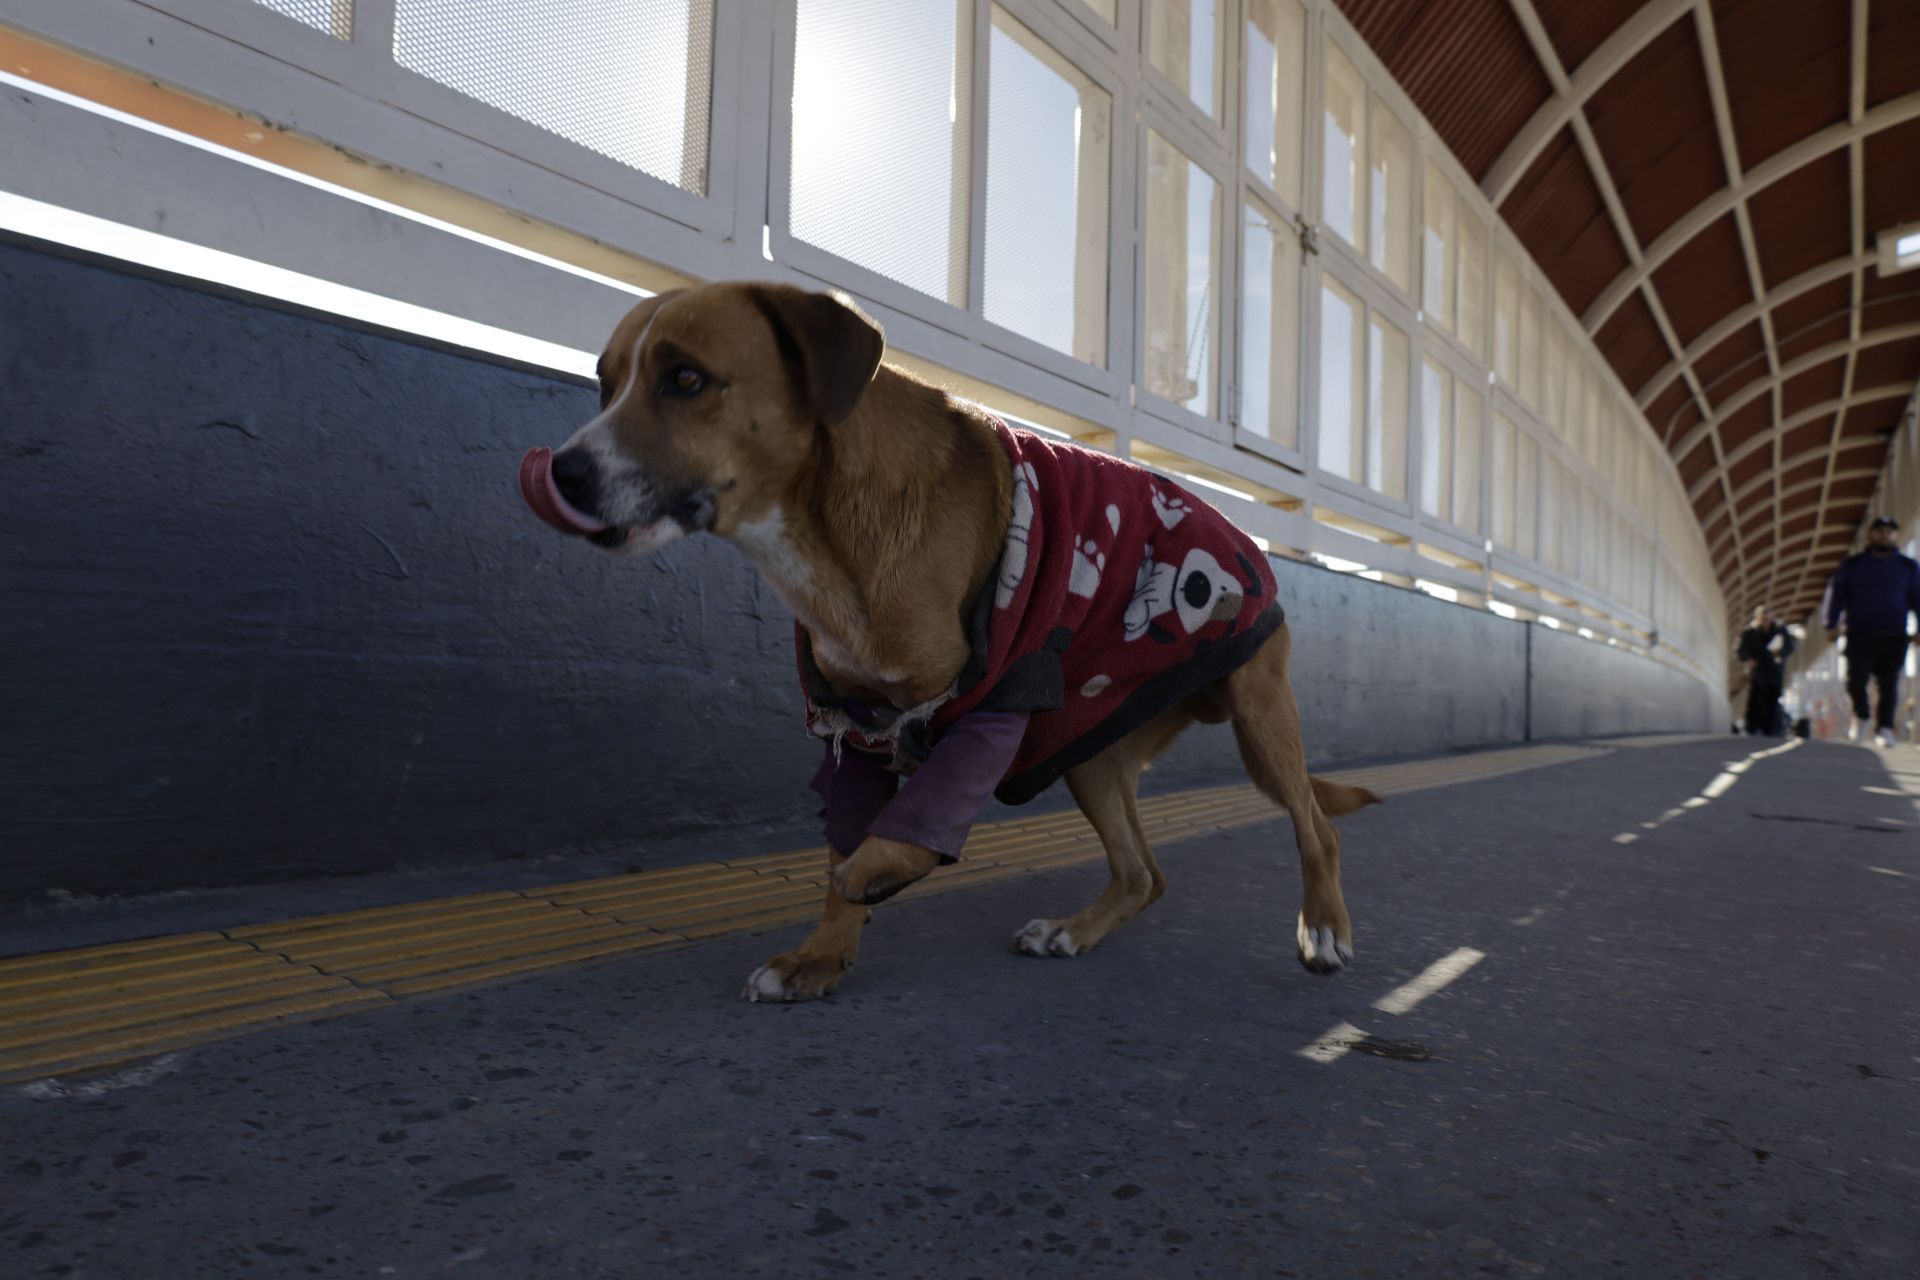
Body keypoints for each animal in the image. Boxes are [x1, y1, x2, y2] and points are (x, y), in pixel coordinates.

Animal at [518, 280, 1374, 997]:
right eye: (605, 383)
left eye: (687, 379)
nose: (563, 472)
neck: (827, 536)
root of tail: (1233, 530)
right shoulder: (849, 727)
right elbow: (848, 843)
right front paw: (822, 955)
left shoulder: (993, 698)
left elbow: (914, 818)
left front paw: (877, 872)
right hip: (1092, 752)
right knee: (1143, 872)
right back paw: (1076, 930)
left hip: (1258, 711)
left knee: (1317, 825)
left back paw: (1325, 928)